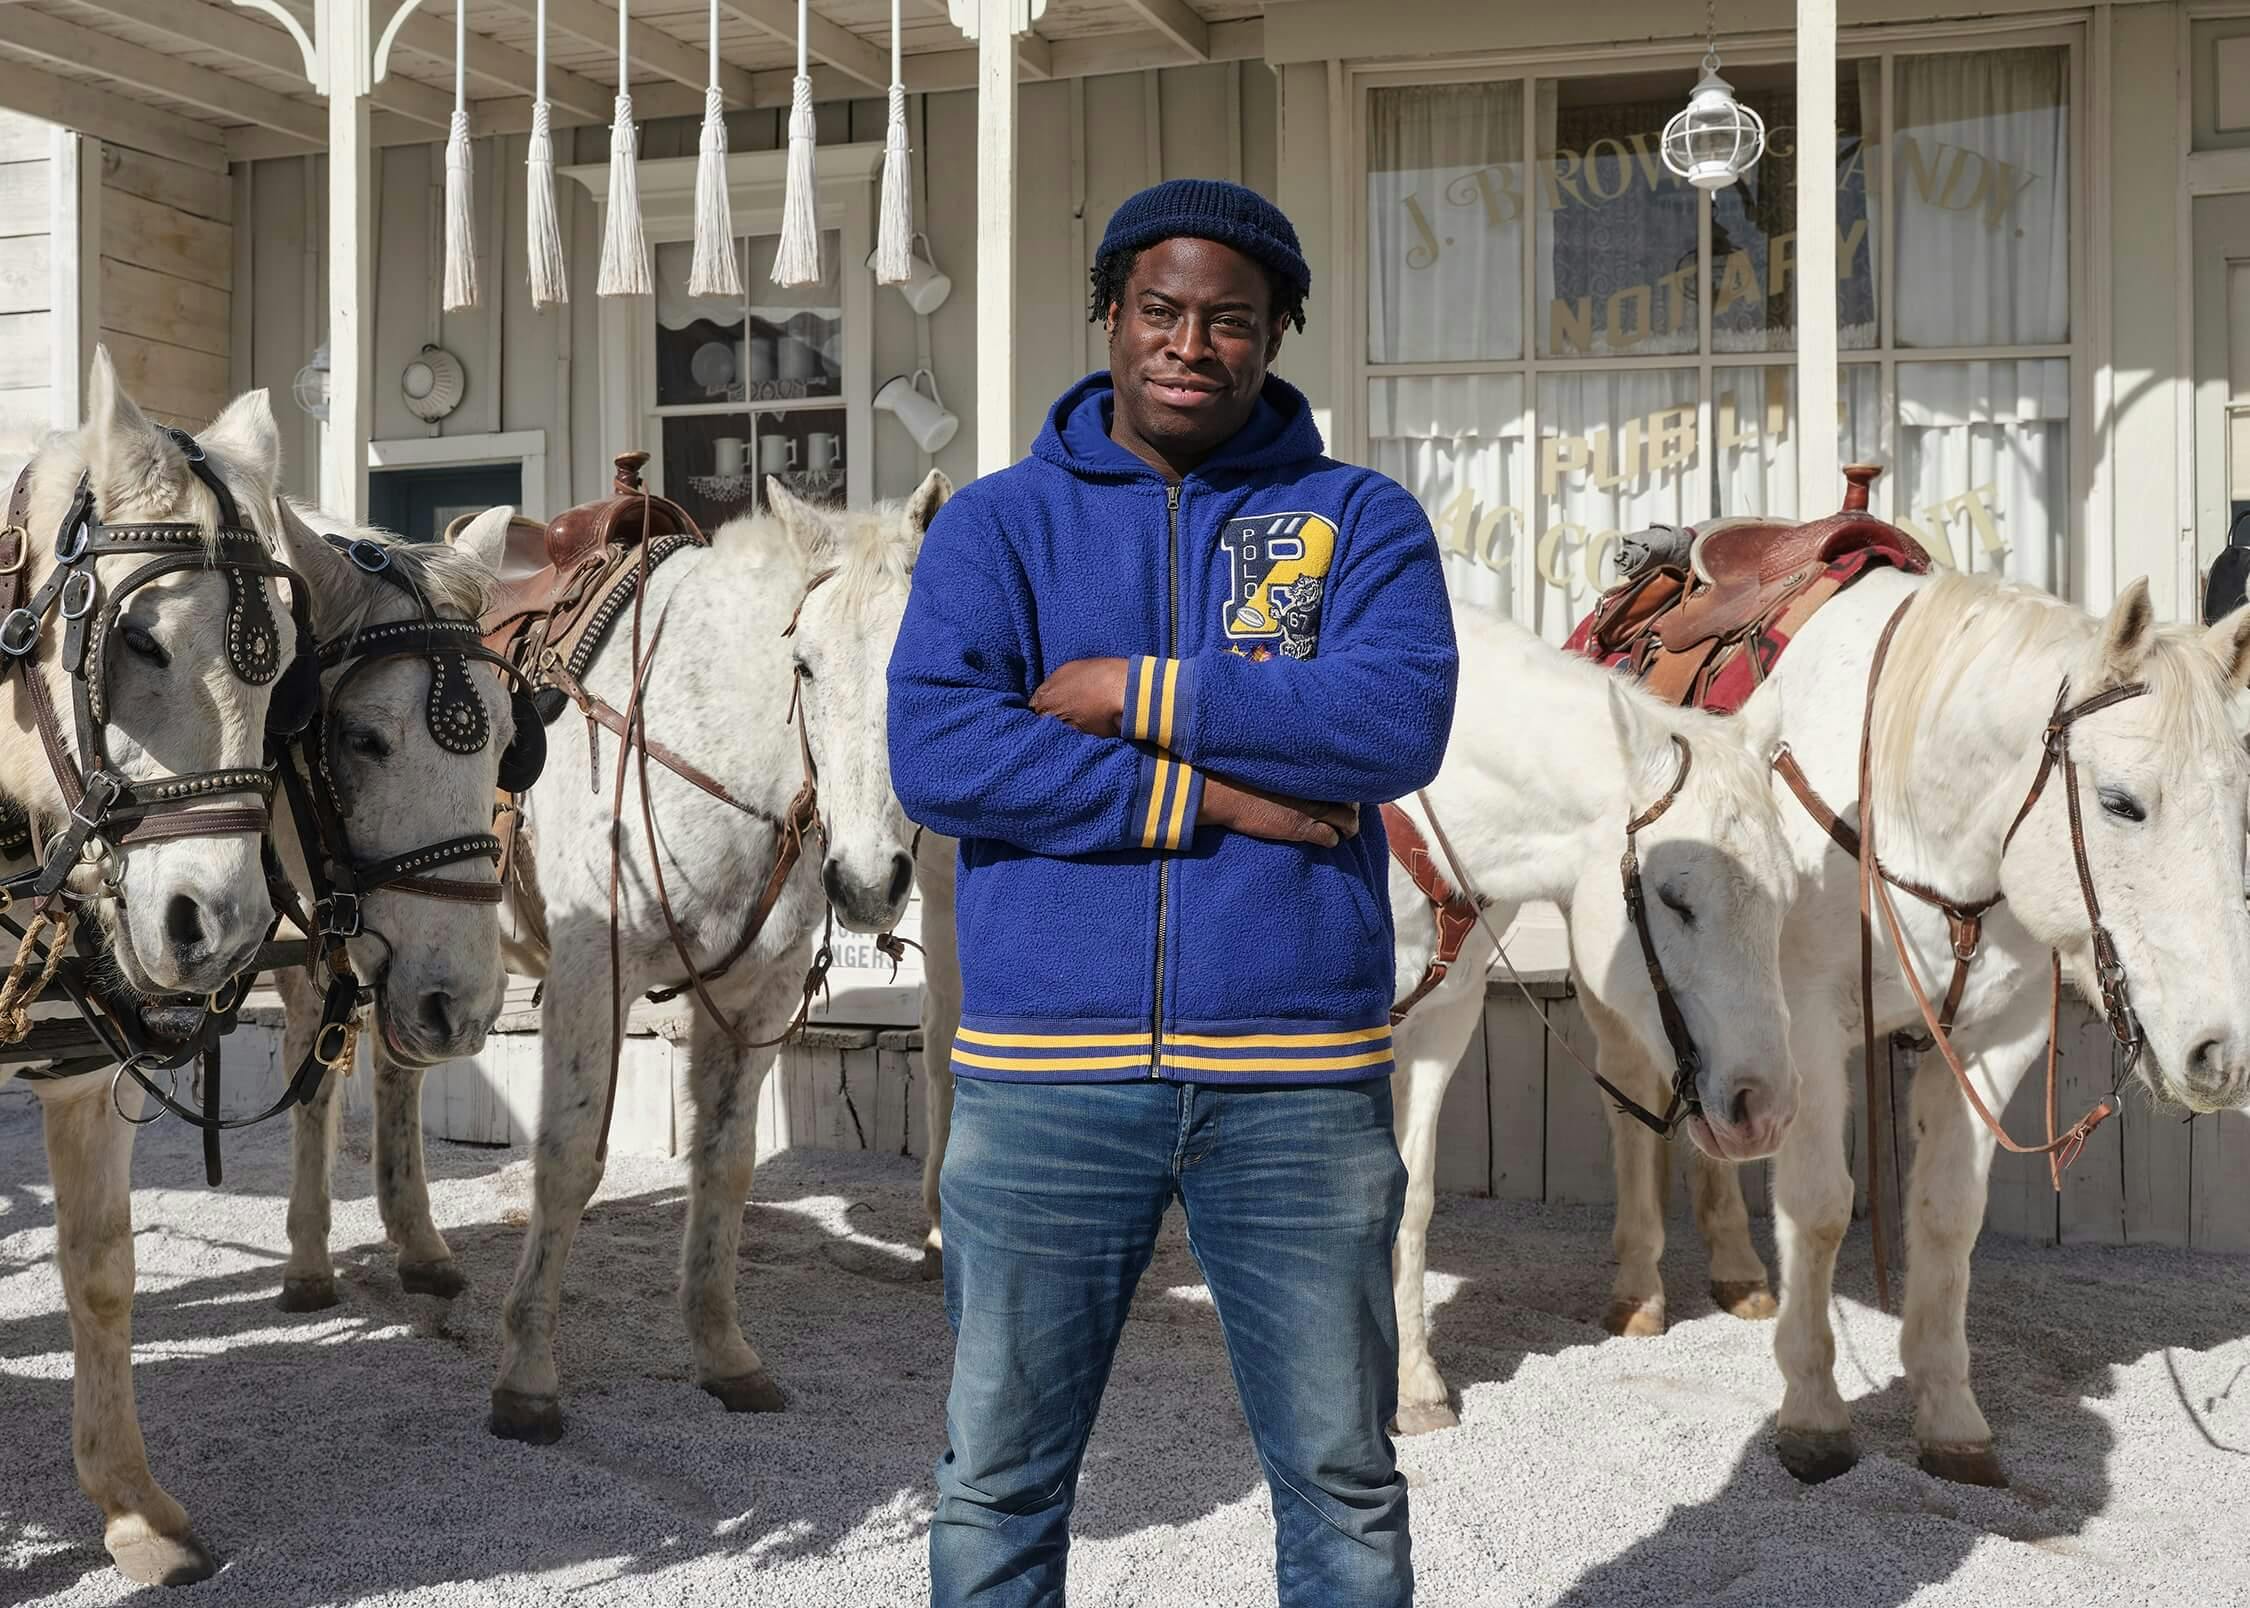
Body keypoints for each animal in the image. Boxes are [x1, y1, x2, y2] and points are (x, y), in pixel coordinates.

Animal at [438, 472, 949, 1439]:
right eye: (804, 667)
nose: (867, 879)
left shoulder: (759, 999)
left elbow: (726, 1162)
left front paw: (723, 1353)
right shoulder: (591, 976)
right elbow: (568, 1158)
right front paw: (527, 1373)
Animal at [1611, 573, 2250, 1493]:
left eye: (2242, 809)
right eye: (2120, 803)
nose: (2222, 1054)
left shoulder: (1992, 1042)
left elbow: (1949, 1217)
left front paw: (1951, 1418)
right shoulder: (1805, 1030)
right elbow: (1819, 1208)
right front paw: (1813, 1414)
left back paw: (1737, 1273)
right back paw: (1639, 1291)